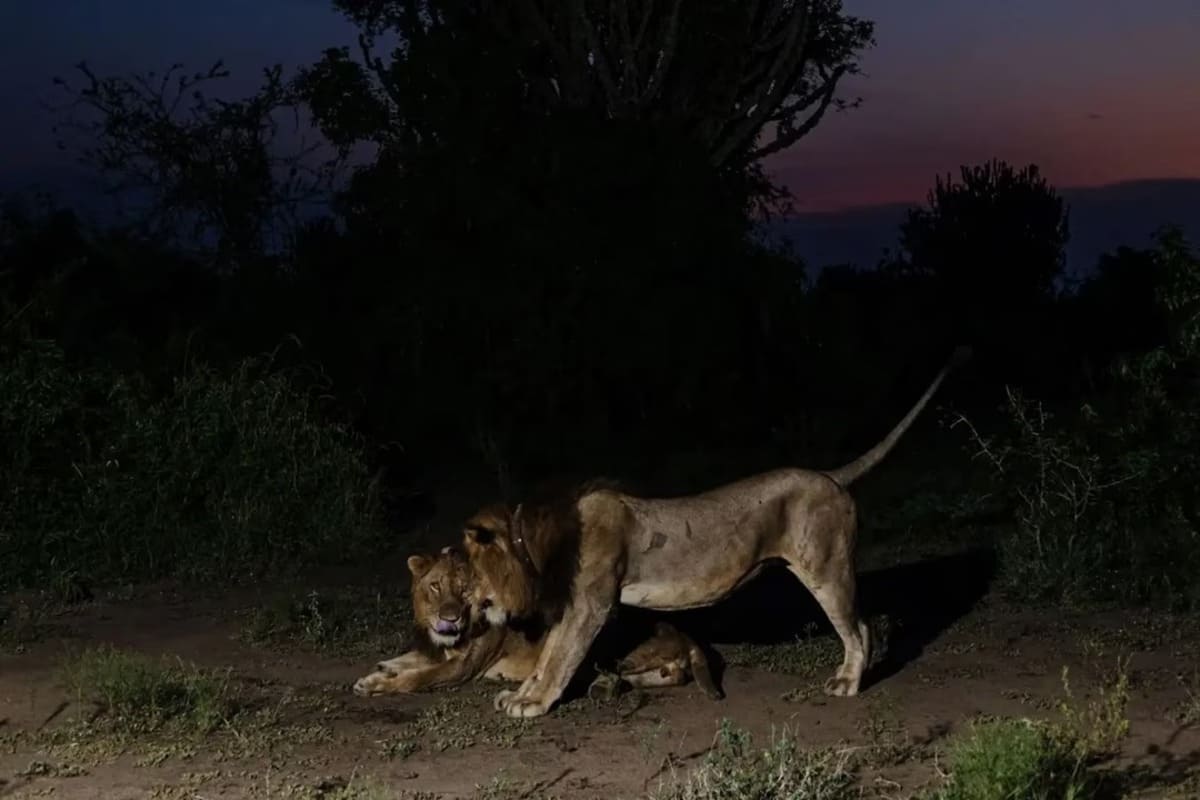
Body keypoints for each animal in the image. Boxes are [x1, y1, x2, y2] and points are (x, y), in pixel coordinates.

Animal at [352, 545, 722, 700]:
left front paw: (378, 685)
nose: (450, 617)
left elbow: (418, 678)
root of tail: (683, 633)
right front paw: (379, 670)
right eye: (436, 586)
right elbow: (408, 659)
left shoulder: (462, 668)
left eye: (465, 590)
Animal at [462, 347, 970, 717]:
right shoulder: (573, 603)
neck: (537, 538)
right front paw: (521, 693)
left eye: (467, 572)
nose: (460, 611)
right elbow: (548, 653)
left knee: (858, 626)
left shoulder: (590, 603)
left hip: (827, 568)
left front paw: (533, 702)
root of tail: (829, 476)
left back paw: (848, 682)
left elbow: (561, 655)